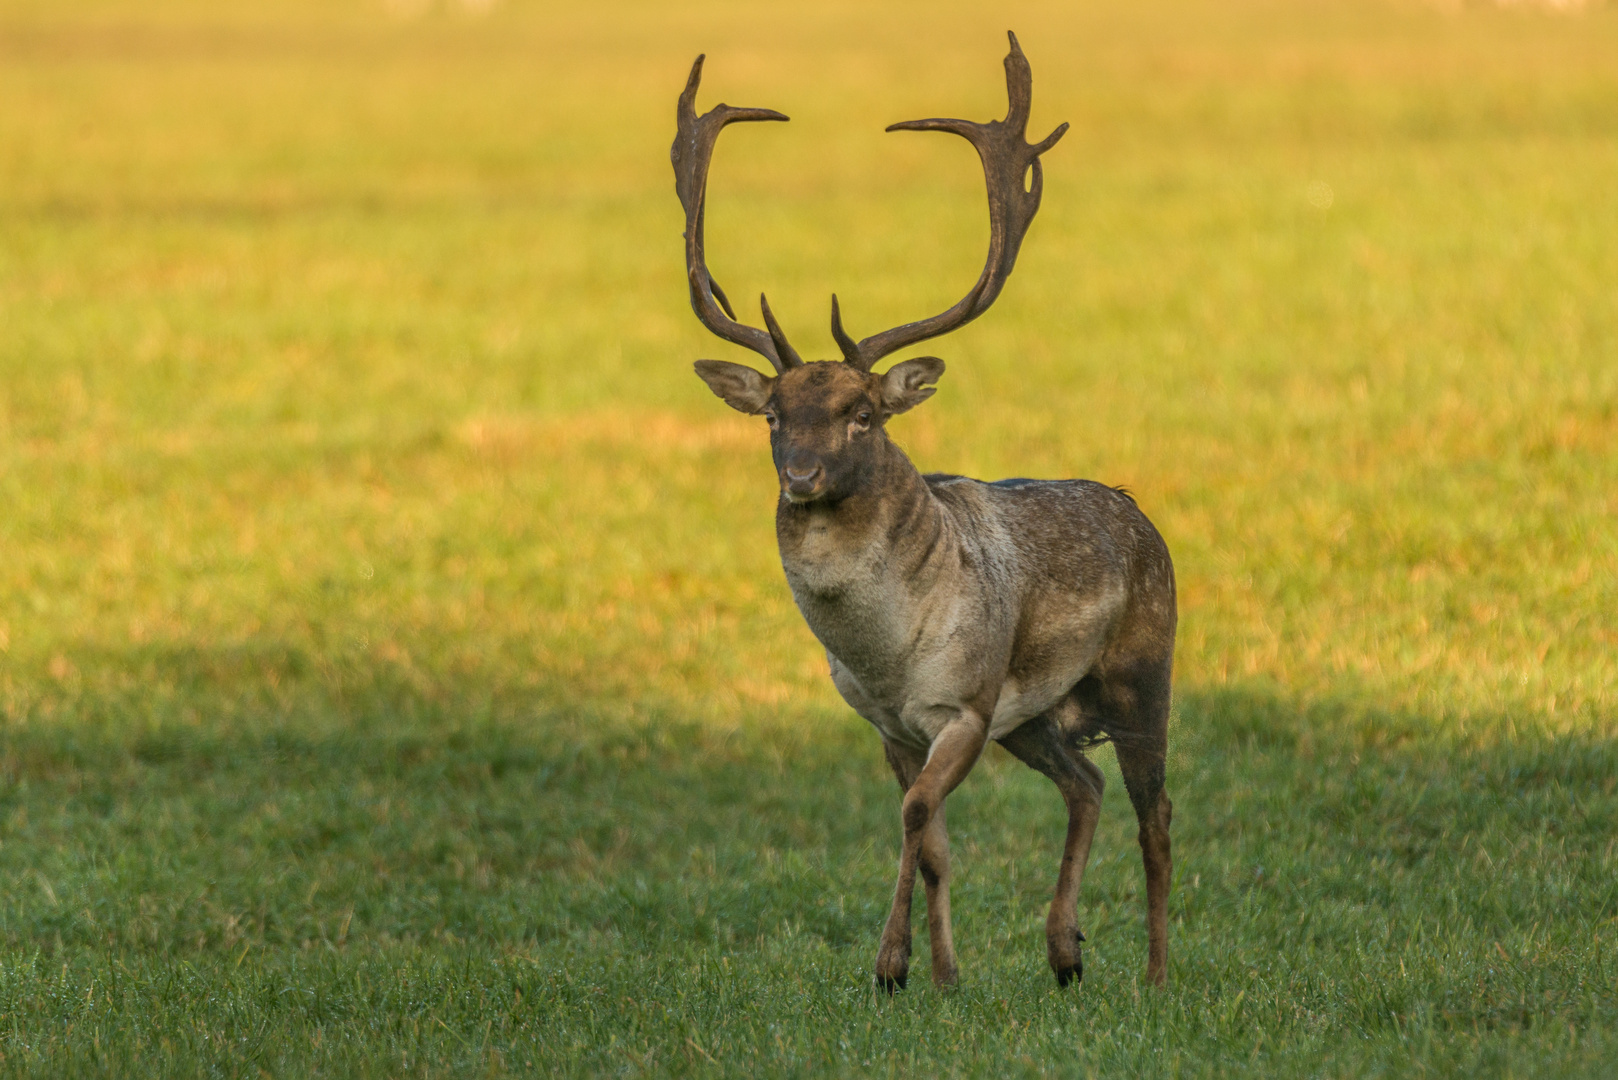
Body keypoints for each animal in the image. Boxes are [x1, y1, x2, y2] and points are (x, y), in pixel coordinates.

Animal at [669, 31, 1177, 997]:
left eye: (864, 412)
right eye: (771, 415)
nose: (802, 476)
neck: (888, 655)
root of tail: (1142, 515)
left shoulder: (964, 703)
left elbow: (915, 819)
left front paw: (902, 966)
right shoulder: (889, 722)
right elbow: (929, 836)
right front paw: (928, 973)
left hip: (1141, 669)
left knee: (1156, 810)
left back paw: (1159, 974)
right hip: (1038, 718)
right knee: (1084, 786)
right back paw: (1065, 953)